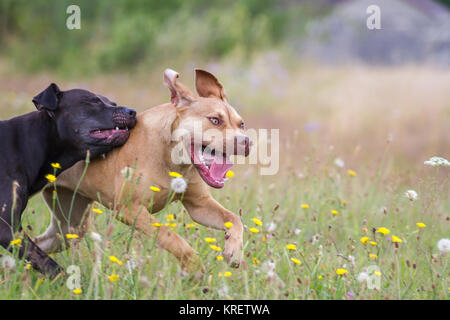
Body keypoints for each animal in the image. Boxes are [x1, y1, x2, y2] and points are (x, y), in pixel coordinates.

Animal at [35, 68, 251, 272]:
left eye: (241, 124)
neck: (171, 157)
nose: (247, 141)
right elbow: (171, 237)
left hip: (69, 225)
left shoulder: (199, 205)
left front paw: (234, 250)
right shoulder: (131, 209)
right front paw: (193, 267)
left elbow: (234, 219)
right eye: (215, 120)